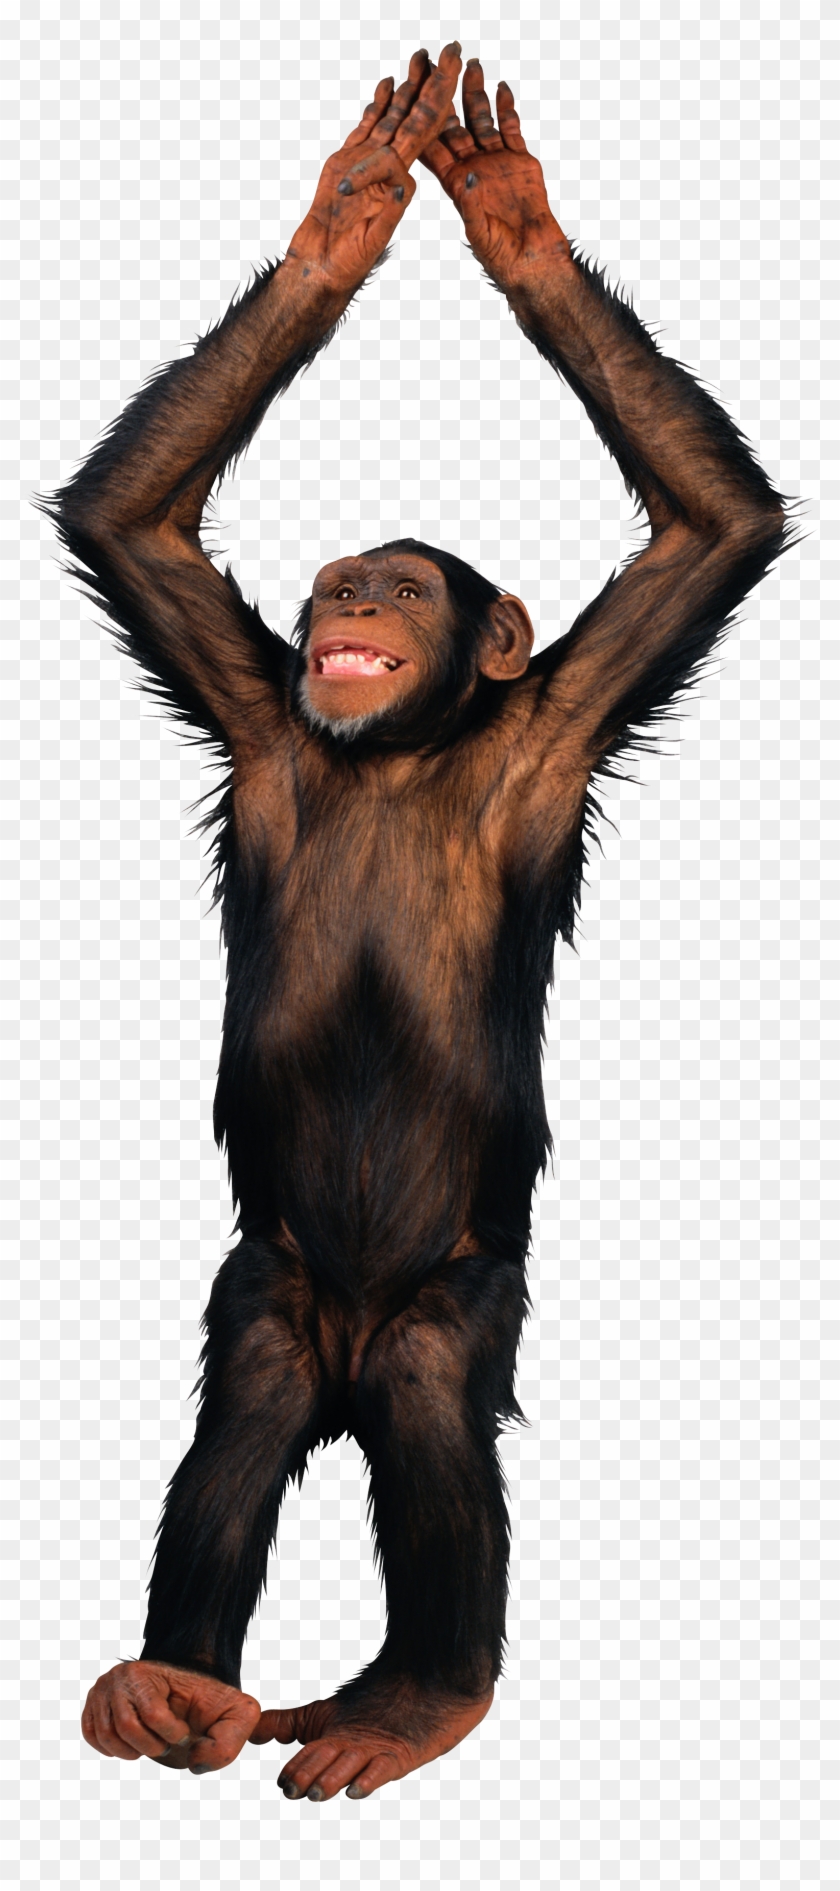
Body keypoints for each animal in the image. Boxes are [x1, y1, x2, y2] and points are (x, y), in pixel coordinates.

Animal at [49, 48, 788, 1802]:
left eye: (394, 581)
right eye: (332, 582)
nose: (344, 600)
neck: (401, 746)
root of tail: (342, 1350)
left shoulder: (565, 720)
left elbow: (712, 530)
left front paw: (516, 223)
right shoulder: (257, 705)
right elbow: (134, 526)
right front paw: (349, 214)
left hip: (454, 1295)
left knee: (434, 1399)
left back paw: (421, 1692)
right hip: (270, 1280)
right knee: (244, 1407)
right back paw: (170, 1683)